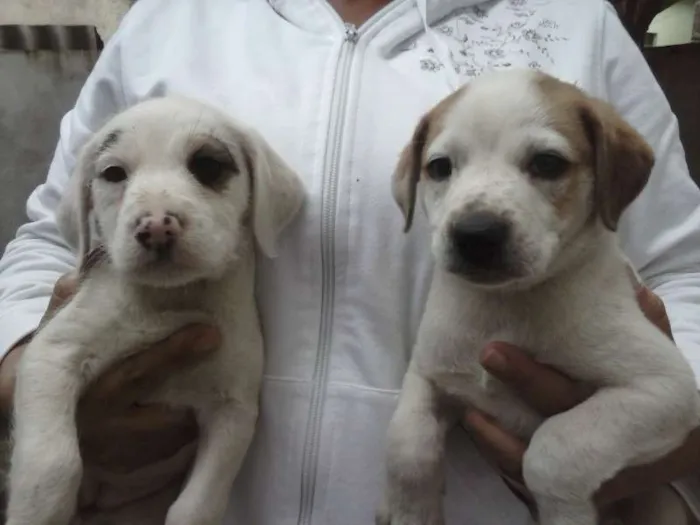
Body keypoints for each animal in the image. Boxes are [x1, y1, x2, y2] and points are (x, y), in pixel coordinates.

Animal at [4, 95, 306, 524]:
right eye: (114, 173)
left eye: (207, 165)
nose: (157, 228)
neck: (171, 300)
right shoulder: (53, 355)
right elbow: (54, 462)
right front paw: (37, 511)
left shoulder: (234, 407)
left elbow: (197, 505)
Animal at [378, 69, 700, 524]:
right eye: (439, 167)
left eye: (547, 163)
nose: (475, 234)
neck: (504, 307)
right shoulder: (429, 371)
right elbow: (407, 442)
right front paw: (410, 510)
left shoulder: (663, 386)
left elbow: (552, 451)